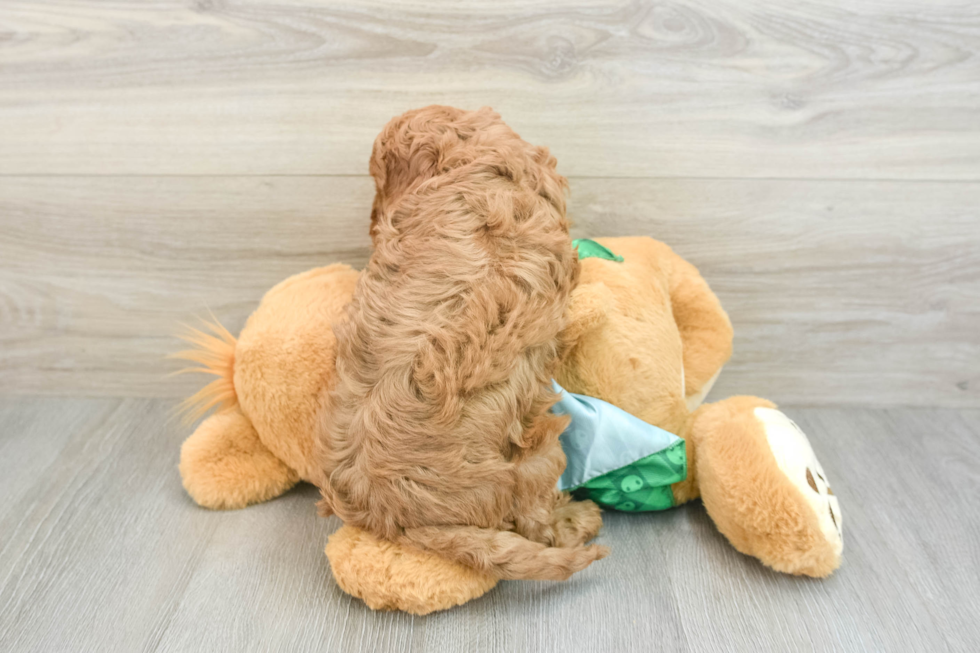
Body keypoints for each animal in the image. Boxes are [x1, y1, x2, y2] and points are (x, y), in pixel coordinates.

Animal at [316, 107, 604, 580]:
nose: (373, 222)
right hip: (537, 456)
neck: (465, 163)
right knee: (537, 520)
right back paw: (577, 517)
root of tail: (391, 518)